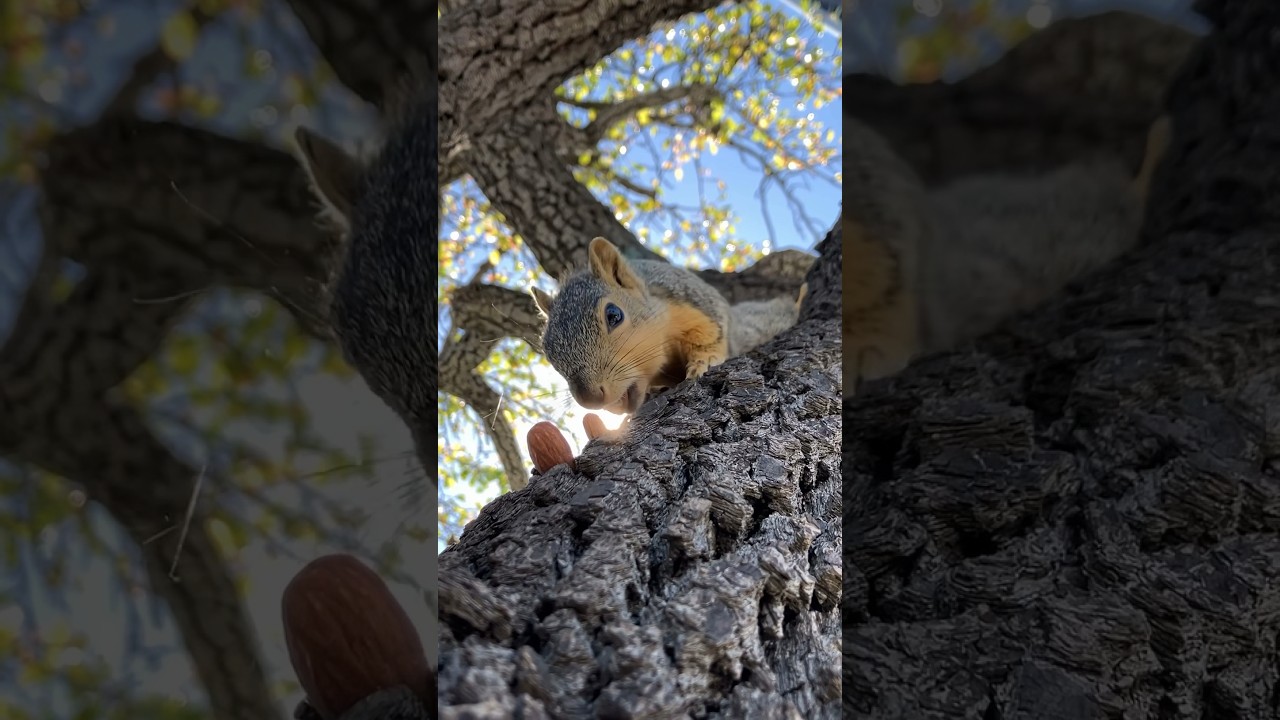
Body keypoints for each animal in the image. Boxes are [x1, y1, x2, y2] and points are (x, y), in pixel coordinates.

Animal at [531, 237, 805, 422]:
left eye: (613, 315)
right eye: (548, 353)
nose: (590, 398)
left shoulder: (698, 305)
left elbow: (710, 337)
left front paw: (703, 361)